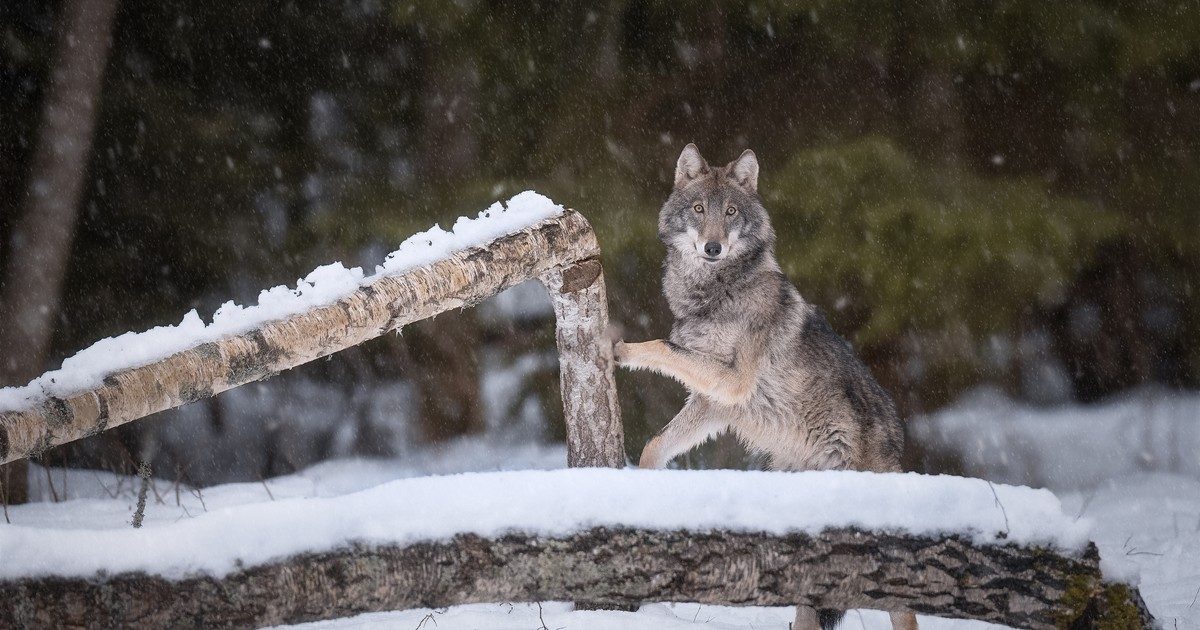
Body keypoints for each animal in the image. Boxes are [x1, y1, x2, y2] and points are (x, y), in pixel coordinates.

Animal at [619, 143, 916, 628]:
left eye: (731, 212)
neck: (715, 293)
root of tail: (898, 439)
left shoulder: (732, 381)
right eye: (699, 210)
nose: (713, 246)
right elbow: (656, 444)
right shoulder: (713, 402)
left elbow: (661, 346)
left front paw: (617, 348)